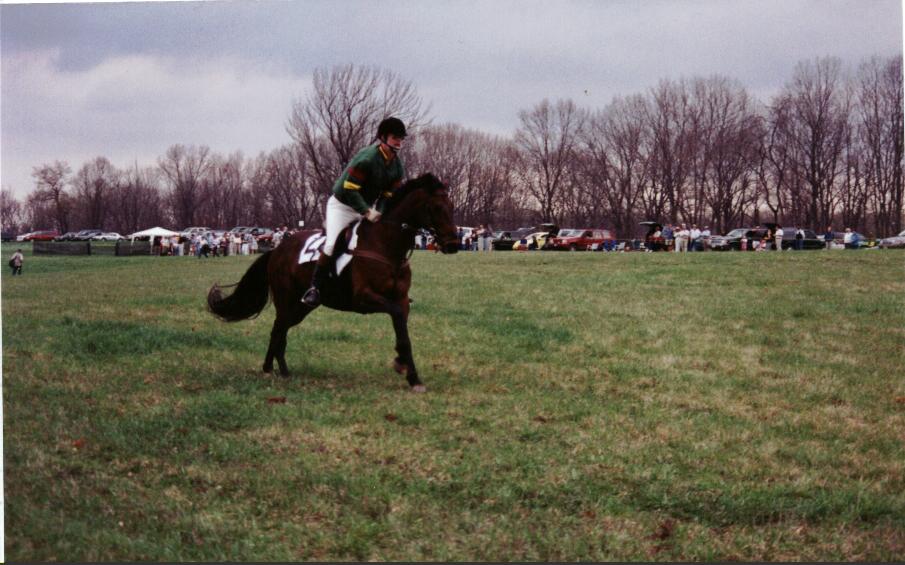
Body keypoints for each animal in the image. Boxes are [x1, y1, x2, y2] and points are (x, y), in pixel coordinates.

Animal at [206, 173, 459, 392]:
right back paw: (275, 370)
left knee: (281, 330)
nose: (453, 244)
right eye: (436, 208)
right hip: (286, 300)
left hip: (300, 307)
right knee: (278, 330)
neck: (386, 246)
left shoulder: (401, 299)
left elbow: (403, 331)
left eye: (452, 207)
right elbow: (396, 316)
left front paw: (411, 374)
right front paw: (403, 365)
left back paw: (276, 369)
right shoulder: (364, 298)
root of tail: (276, 249)